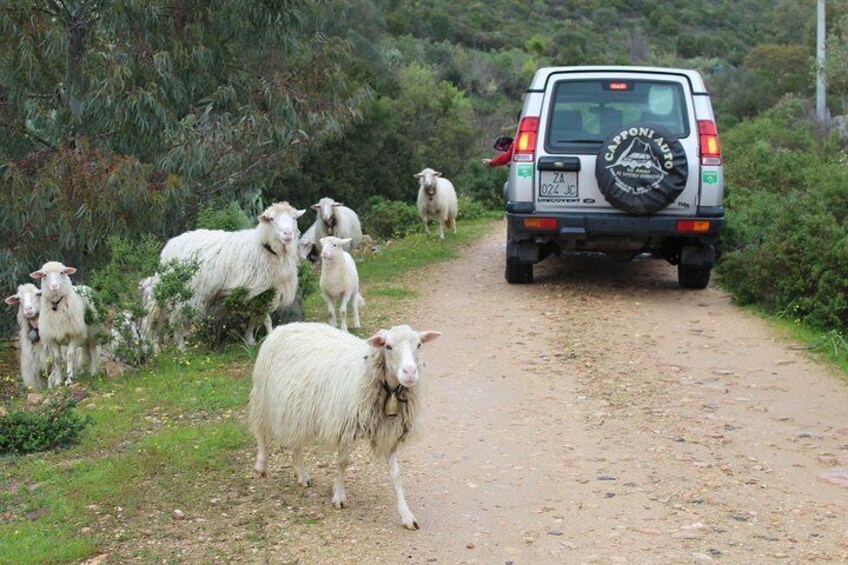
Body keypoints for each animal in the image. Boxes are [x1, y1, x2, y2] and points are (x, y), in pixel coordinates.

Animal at [153, 198, 304, 348]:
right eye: (272, 219)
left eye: (294, 217)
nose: (288, 233)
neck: (264, 248)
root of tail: (169, 245)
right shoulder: (251, 291)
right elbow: (264, 318)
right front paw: (266, 336)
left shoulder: (267, 292)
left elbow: (256, 317)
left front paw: (249, 340)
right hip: (181, 292)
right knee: (175, 317)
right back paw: (181, 346)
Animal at [247, 322, 440, 528]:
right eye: (388, 346)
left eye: (419, 345)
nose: (410, 373)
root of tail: (284, 326)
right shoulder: (344, 424)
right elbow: (342, 462)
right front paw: (339, 497)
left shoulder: (388, 432)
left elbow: (396, 474)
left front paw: (406, 515)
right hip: (262, 393)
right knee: (260, 431)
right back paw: (261, 465)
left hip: (296, 406)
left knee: (296, 441)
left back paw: (302, 475)